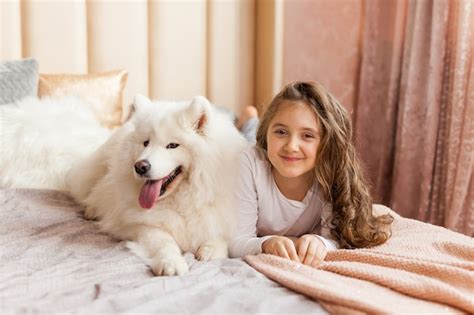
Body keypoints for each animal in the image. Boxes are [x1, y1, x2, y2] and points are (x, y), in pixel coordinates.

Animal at [0, 95, 246, 276]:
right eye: (145, 143)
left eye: (172, 145)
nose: (141, 166)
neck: (182, 198)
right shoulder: (140, 225)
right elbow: (163, 241)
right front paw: (172, 263)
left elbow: (221, 236)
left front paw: (210, 250)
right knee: (92, 193)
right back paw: (91, 210)